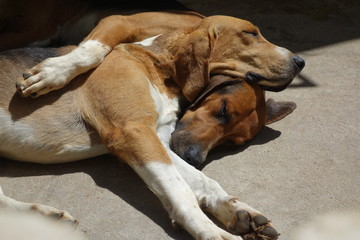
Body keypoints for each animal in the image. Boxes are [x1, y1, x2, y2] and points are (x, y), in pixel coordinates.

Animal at [1, 12, 302, 240]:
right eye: (251, 33)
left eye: (232, 143)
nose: (300, 61)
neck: (159, 66)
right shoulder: (133, 132)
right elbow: (181, 190)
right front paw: (211, 232)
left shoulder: (156, 137)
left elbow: (201, 179)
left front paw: (238, 210)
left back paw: (46, 216)